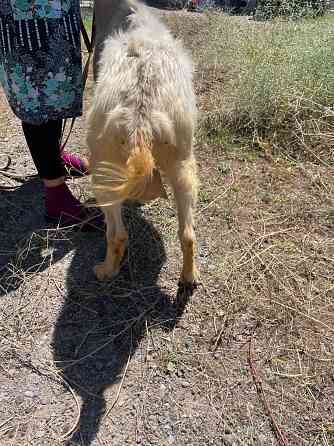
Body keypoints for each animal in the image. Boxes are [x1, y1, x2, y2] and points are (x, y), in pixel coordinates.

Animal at [86, 0, 200, 288]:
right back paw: (189, 277)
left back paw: (106, 271)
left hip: (102, 170)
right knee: (188, 235)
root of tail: (141, 111)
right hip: (183, 164)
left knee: (117, 235)